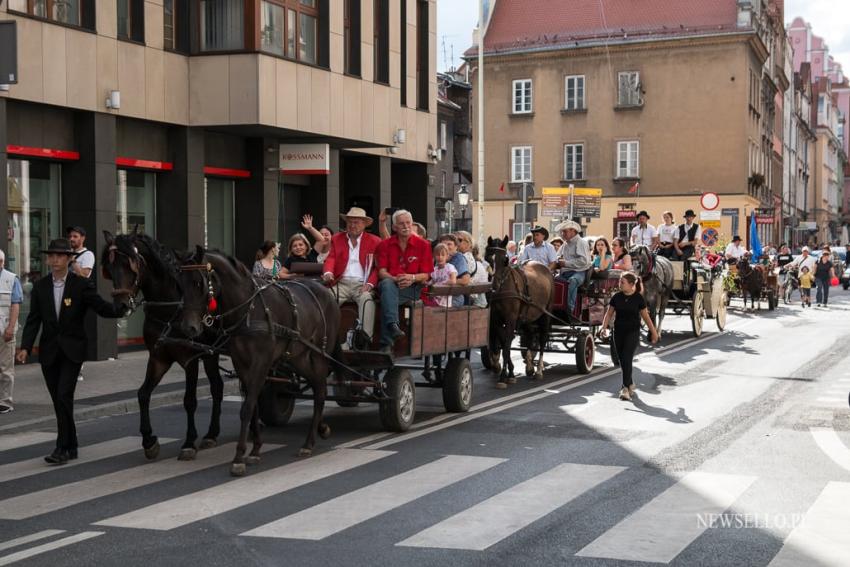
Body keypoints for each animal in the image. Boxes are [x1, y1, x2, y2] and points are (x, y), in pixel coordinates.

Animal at [100, 231, 225, 462]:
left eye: (131, 265)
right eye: (109, 269)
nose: (120, 306)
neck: (170, 308)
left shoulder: (190, 359)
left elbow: (189, 400)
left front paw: (188, 443)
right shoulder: (158, 358)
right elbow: (143, 394)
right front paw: (149, 441)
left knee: (218, 387)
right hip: (211, 354)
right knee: (218, 387)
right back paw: (211, 434)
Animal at [176, 247, 342, 474]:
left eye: (198, 283)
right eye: (180, 284)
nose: (188, 328)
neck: (248, 309)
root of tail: (325, 291)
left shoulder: (260, 363)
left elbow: (246, 408)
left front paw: (238, 457)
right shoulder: (241, 364)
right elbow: (252, 406)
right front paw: (255, 450)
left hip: (319, 354)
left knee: (320, 391)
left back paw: (309, 443)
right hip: (298, 356)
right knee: (319, 386)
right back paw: (321, 429)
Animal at [484, 237, 556, 388]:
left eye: (505, 259)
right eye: (487, 258)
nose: (494, 286)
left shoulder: (511, 319)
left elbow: (506, 345)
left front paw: (503, 377)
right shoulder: (495, 320)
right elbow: (503, 342)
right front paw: (510, 372)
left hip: (546, 314)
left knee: (542, 339)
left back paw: (539, 370)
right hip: (529, 316)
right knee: (529, 336)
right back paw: (529, 366)